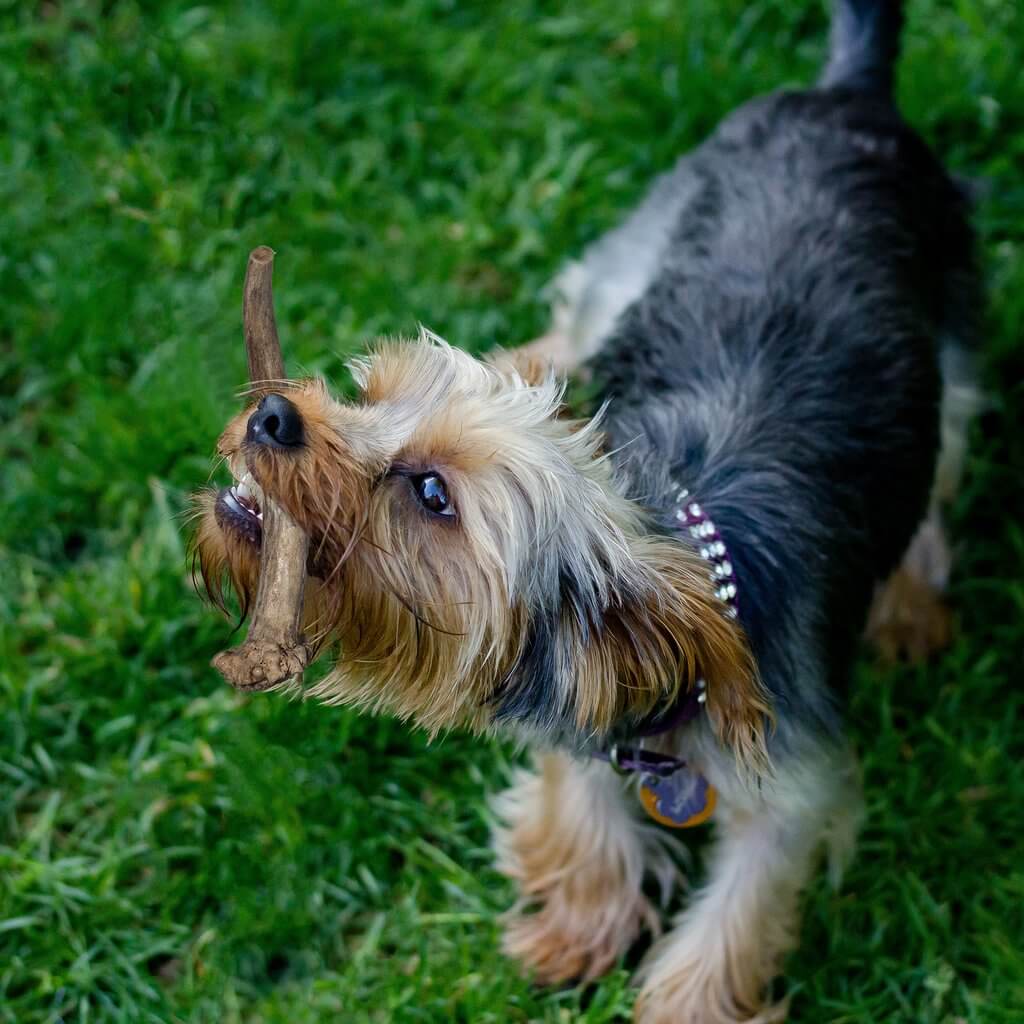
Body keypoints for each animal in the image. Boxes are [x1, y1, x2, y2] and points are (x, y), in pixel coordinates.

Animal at [193, 4, 983, 1019]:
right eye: (368, 395)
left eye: (434, 495)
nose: (274, 413)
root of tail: (848, 94)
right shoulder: (583, 712)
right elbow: (583, 806)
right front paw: (579, 923)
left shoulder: (790, 787)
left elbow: (734, 920)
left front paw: (682, 1000)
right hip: (641, 251)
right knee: (578, 317)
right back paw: (533, 359)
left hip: (952, 347)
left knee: (944, 462)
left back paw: (912, 606)